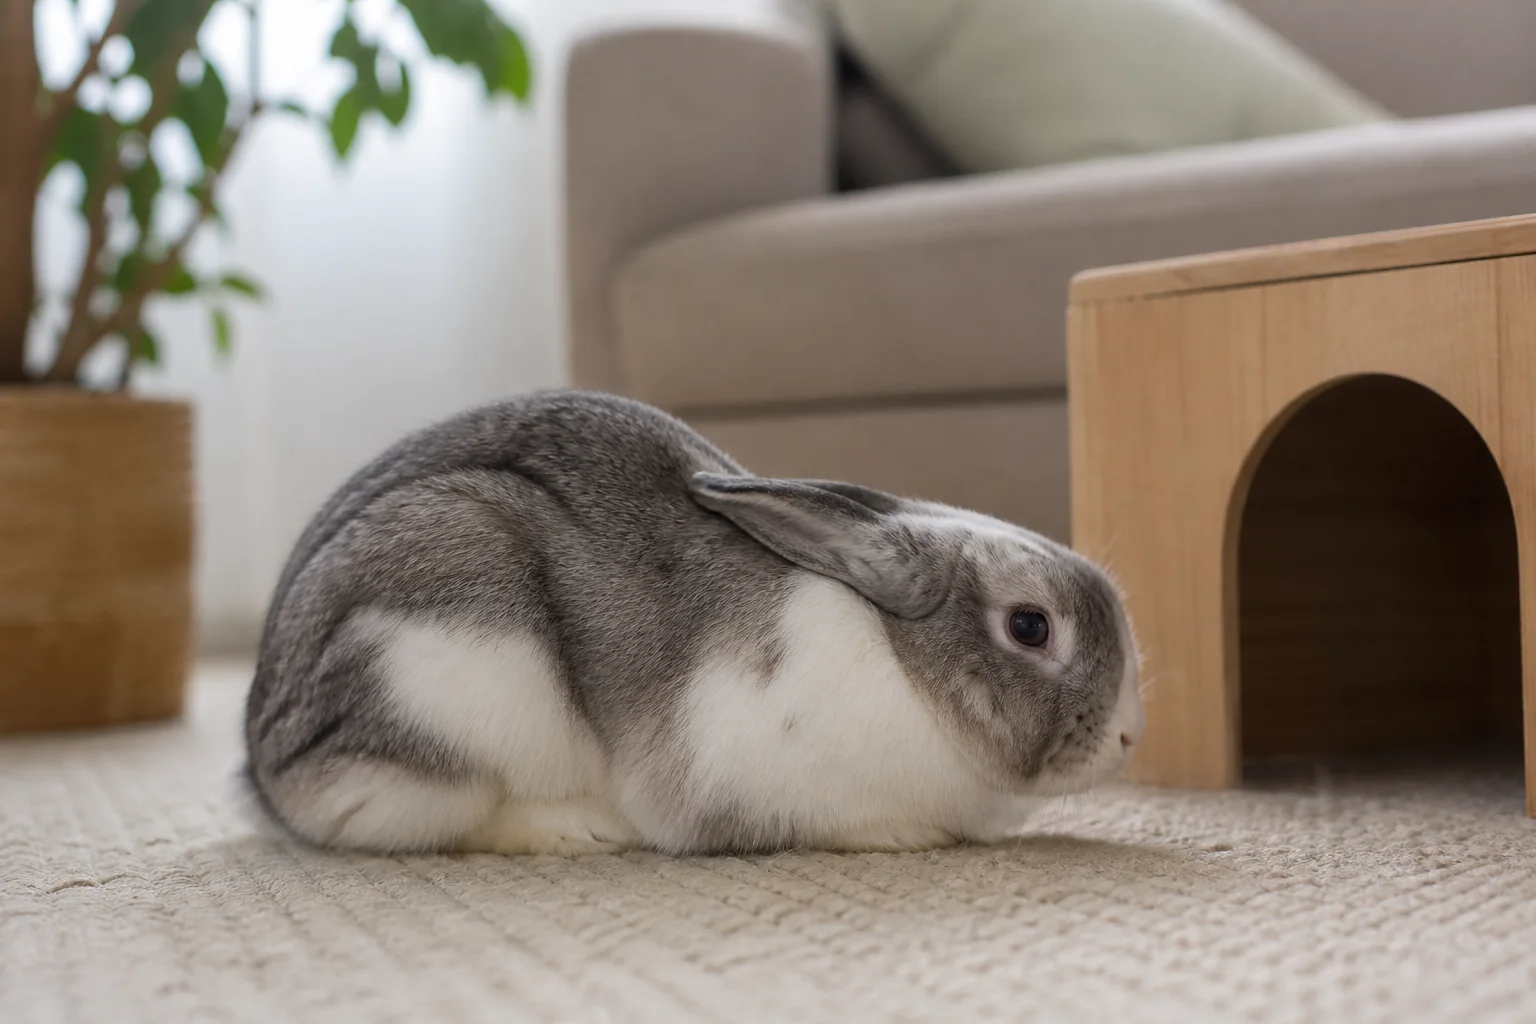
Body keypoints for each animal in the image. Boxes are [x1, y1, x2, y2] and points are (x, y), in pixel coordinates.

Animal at [243, 389, 1144, 856]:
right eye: (1030, 627)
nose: (1131, 736)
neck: (901, 660)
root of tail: (265, 760)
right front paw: (904, 838)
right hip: (446, 672)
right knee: (415, 820)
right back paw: (578, 830)